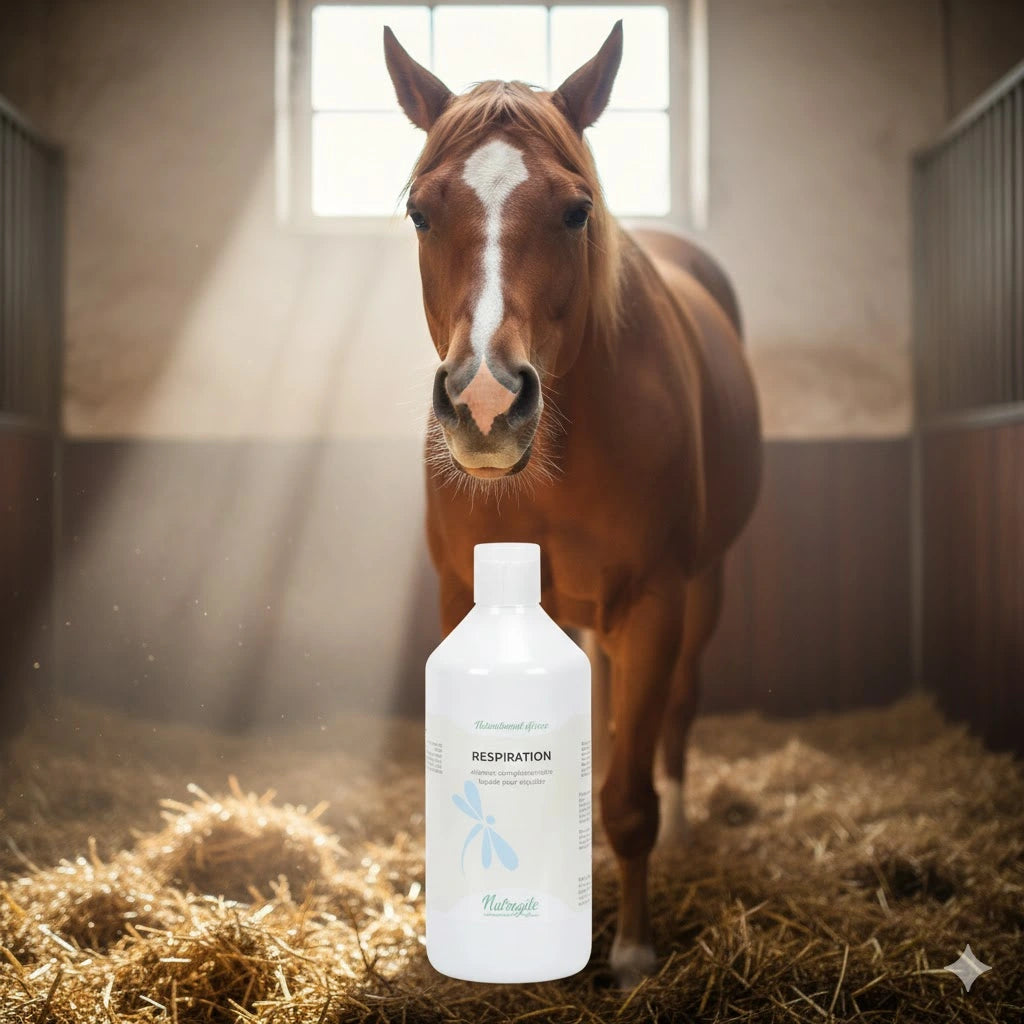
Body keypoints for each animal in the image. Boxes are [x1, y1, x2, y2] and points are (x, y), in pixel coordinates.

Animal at [384, 21, 762, 984]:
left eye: (576, 210)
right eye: (420, 212)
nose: (486, 402)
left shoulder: (655, 601)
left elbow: (630, 797)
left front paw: (630, 951)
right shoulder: (463, 595)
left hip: (705, 589)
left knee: (675, 716)